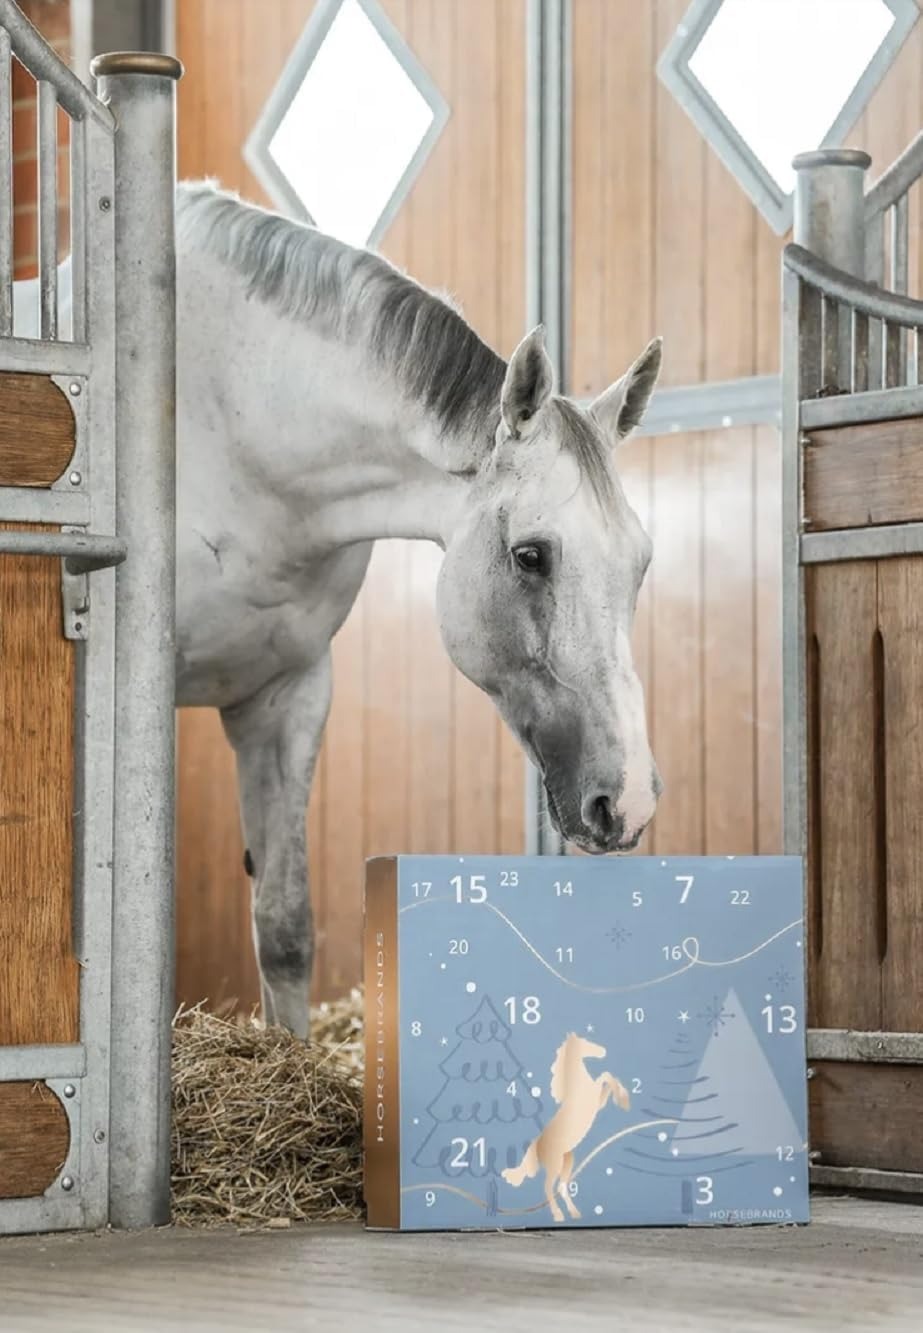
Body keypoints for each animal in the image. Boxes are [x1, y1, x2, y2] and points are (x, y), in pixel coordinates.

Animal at [12, 181, 663, 1038]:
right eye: (530, 555)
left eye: (640, 562)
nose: (628, 800)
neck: (233, 431)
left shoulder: (285, 696)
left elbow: (284, 922)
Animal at [502, 1032, 630, 1222]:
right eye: (585, 1042)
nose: (603, 1051)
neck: (578, 1085)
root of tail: (537, 1144)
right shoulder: (594, 1098)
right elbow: (605, 1077)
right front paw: (623, 1100)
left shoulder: (598, 1103)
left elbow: (608, 1079)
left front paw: (623, 1099)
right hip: (555, 1165)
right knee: (548, 1187)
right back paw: (558, 1215)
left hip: (567, 1161)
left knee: (561, 1187)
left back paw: (574, 1213)